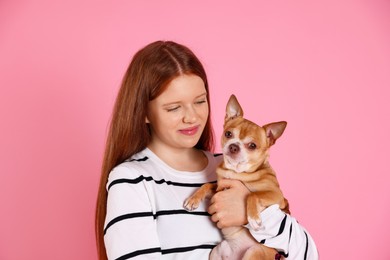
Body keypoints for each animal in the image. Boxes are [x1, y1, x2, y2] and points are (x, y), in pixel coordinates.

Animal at [184, 94, 290, 258]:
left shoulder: (276, 196)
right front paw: (193, 199)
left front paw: (254, 219)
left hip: (254, 251)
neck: (235, 172)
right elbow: (207, 184)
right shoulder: (219, 188)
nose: (234, 146)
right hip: (216, 252)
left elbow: (252, 195)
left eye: (252, 145)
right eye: (228, 134)